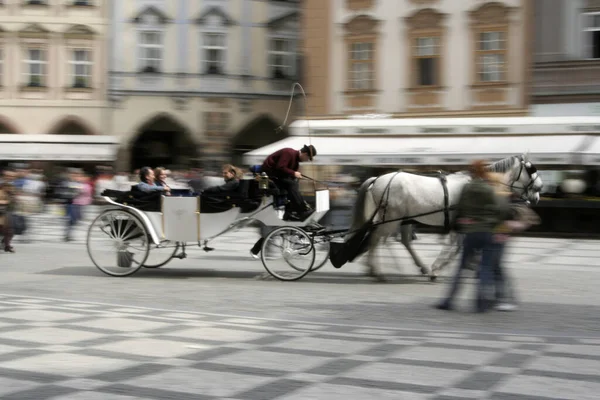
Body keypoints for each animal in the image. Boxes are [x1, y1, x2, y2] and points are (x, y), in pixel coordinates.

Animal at [346, 153, 544, 282]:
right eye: (531, 169)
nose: (539, 191)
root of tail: (378, 179)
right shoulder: (462, 224)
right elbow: (456, 247)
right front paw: (438, 269)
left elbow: (466, 247)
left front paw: (472, 266)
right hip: (392, 219)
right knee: (376, 239)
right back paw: (378, 271)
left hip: (402, 219)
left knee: (397, 241)